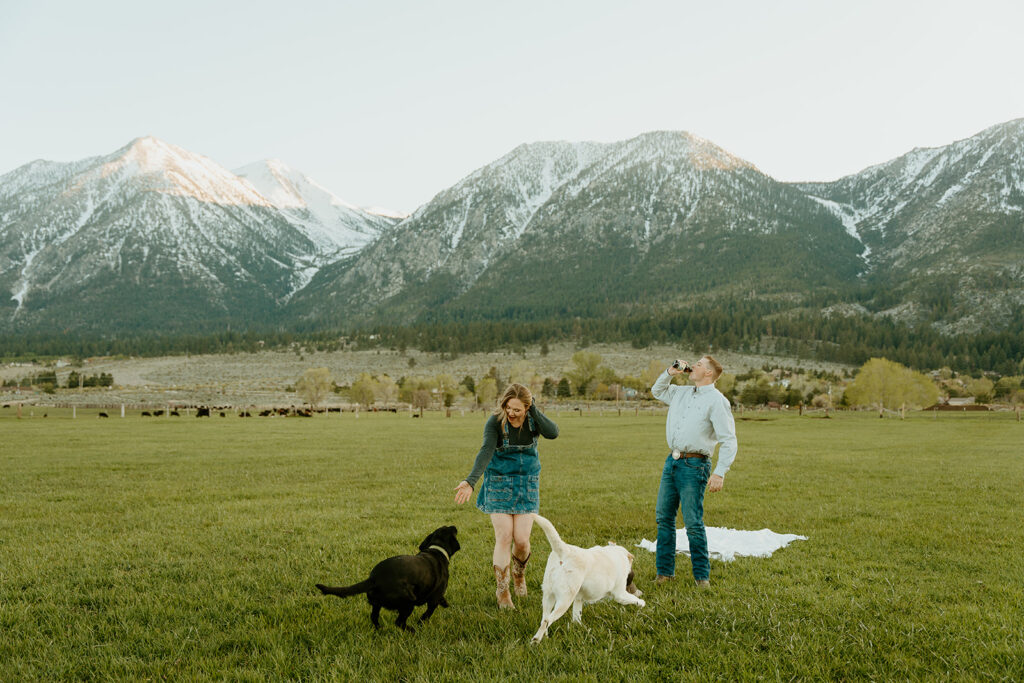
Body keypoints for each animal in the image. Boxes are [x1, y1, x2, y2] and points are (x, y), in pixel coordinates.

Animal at [311, 528, 456, 634]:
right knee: (399, 622)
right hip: (408, 602)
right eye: (451, 530)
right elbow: (427, 614)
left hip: (377, 604)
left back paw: (380, 630)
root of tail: (373, 579)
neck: (437, 550)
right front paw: (421, 624)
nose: (454, 526)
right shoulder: (433, 599)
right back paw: (412, 630)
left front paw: (445, 603)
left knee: (374, 617)